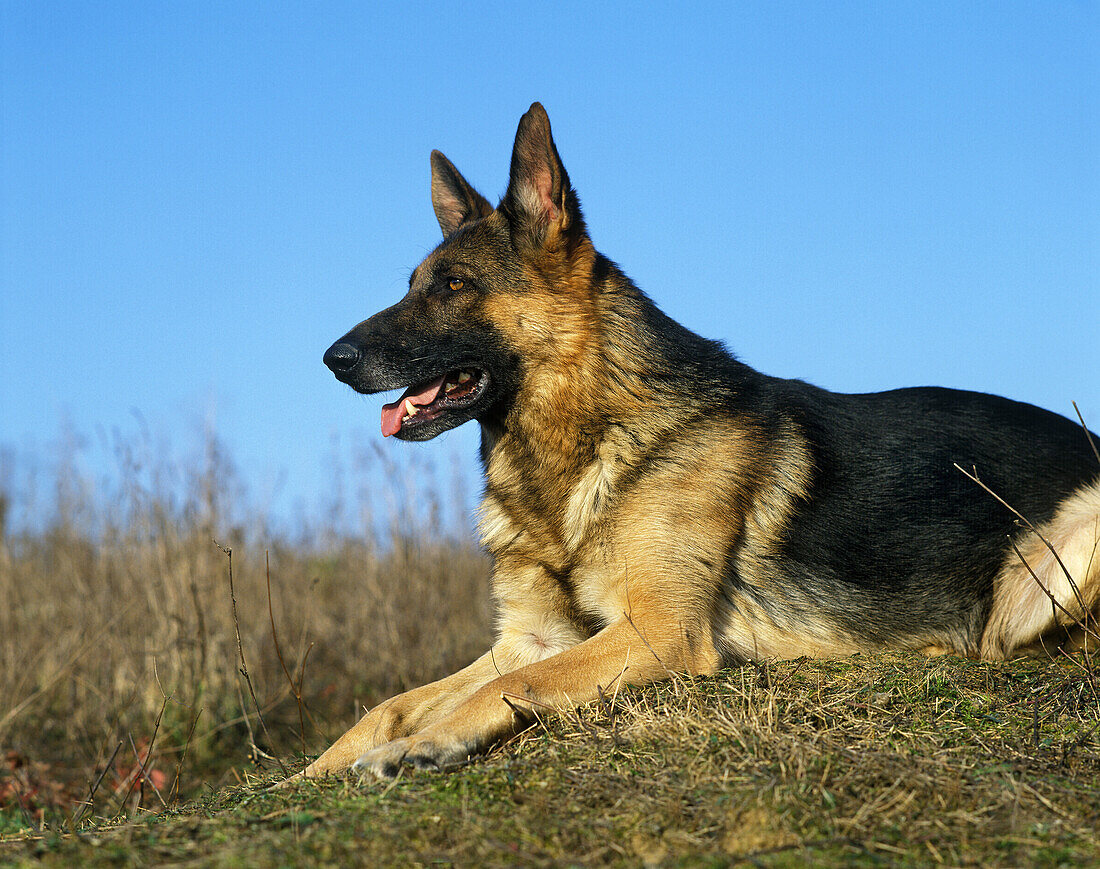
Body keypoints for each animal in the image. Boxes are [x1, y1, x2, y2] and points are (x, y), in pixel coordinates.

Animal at [310, 103, 1100, 783]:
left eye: (452, 285)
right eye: (413, 284)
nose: (333, 359)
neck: (588, 445)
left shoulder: (655, 630)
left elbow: (518, 686)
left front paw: (422, 746)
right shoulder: (530, 636)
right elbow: (392, 703)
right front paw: (310, 771)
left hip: (1053, 564)